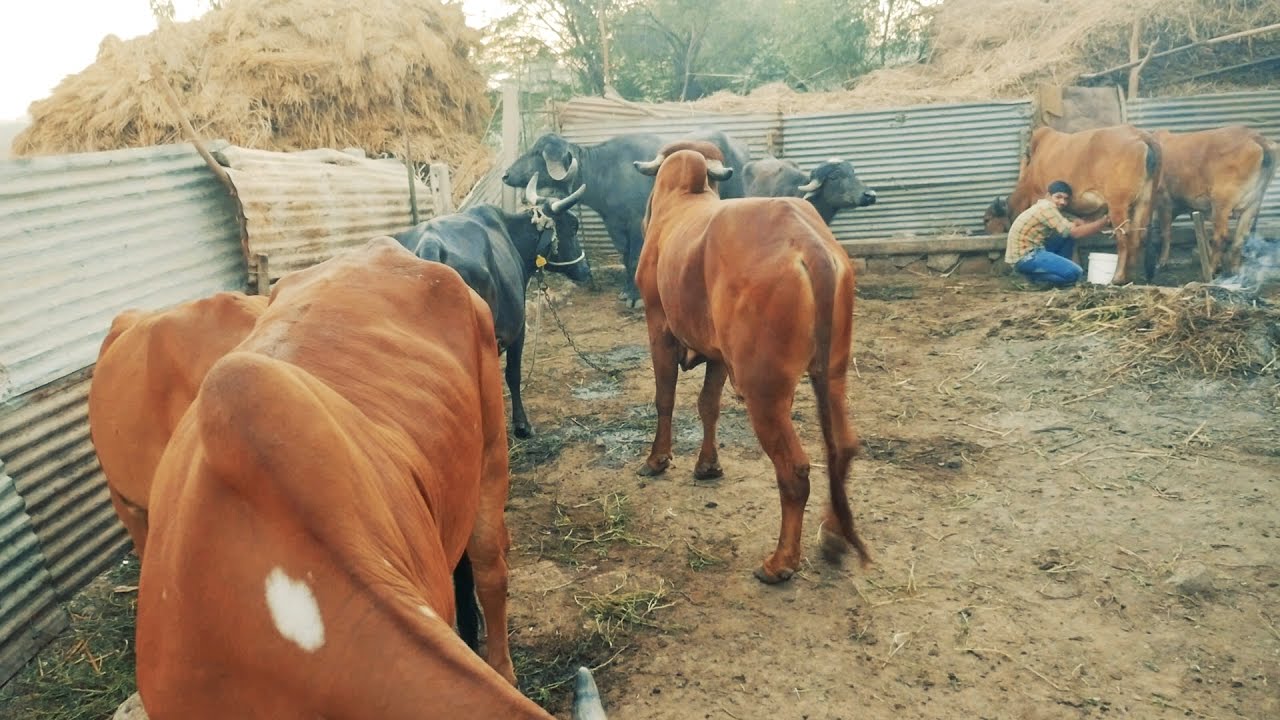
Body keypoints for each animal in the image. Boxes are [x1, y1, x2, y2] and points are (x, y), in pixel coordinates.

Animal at [393, 175, 590, 439]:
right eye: (573, 225)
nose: (585, 270)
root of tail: (430, 244)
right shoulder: (518, 329)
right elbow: (512, 374)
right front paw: (522, 425)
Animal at [502, 129, 751, 305]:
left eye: (537, 153)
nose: (506, 175)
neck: (606, 172)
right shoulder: (615, 225)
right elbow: (624, 256)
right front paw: (626, 291)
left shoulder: (636, 223)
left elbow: (634, 257)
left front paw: (635, 297)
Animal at [984, 125, 1162, 284]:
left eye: (986, 220)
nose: (992, 254)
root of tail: (1140, 134)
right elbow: (1074, 235)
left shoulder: (1040, 199)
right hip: (1145, 201)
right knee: (1137, 236)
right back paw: (1130, 276)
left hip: (1118, 204)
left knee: (1123, 237)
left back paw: (1117, 278)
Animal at [1152, 125, 1278, 277]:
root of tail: (1255, 137)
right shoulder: (1194, 208)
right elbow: (1202, 234)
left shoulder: (1163, 200)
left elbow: (1165, 233)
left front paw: (1161, 262)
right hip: (1252, 204)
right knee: (1240, 238)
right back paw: (1234, 270)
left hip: (1221, 203)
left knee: (1221, 237)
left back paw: (1210, 270)